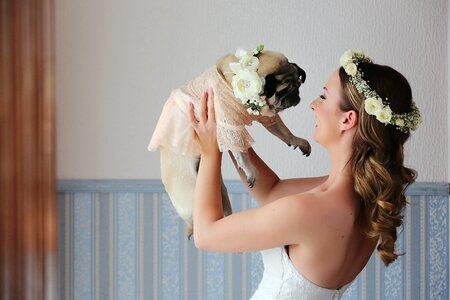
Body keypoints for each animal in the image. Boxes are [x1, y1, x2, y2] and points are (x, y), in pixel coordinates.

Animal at [149, 48, 312, 237]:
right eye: (282, 91)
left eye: (298, 86)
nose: (295, 97)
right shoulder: (230, 124)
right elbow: (242, 154)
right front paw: (250, 171)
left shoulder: (267, 118)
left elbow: (283, 131)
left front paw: (297, 140)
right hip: (190, 193)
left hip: (221, 195)